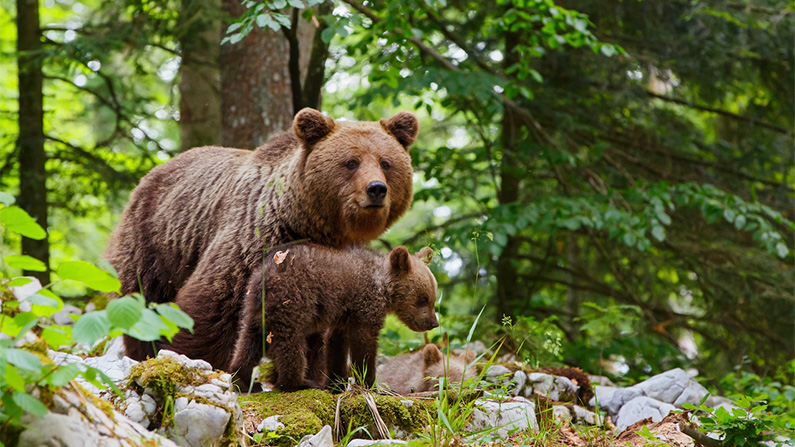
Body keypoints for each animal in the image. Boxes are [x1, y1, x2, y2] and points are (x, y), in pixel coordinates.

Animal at [106, 107, 420, 366]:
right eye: (351, 162)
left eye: (386, 162)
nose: (376, 189)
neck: (311, 225)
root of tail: (156, 169)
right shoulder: (254, 240)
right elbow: (212, 305)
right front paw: (191, 356)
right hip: (155, 240)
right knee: (143, 299)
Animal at [230, 245, 438, 392]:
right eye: (423, 298)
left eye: (433, 297)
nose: (434, 323)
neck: (384, 287)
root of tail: (266, 277)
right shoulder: (366, 305)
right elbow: (365, 343)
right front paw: (369, 383)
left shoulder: (343, 317)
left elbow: (335, 344)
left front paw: (336, 382)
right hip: (293, 301)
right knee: (291, 344)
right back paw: (299, 382)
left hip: (253, 307)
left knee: (248, 341)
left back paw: (245, 379)